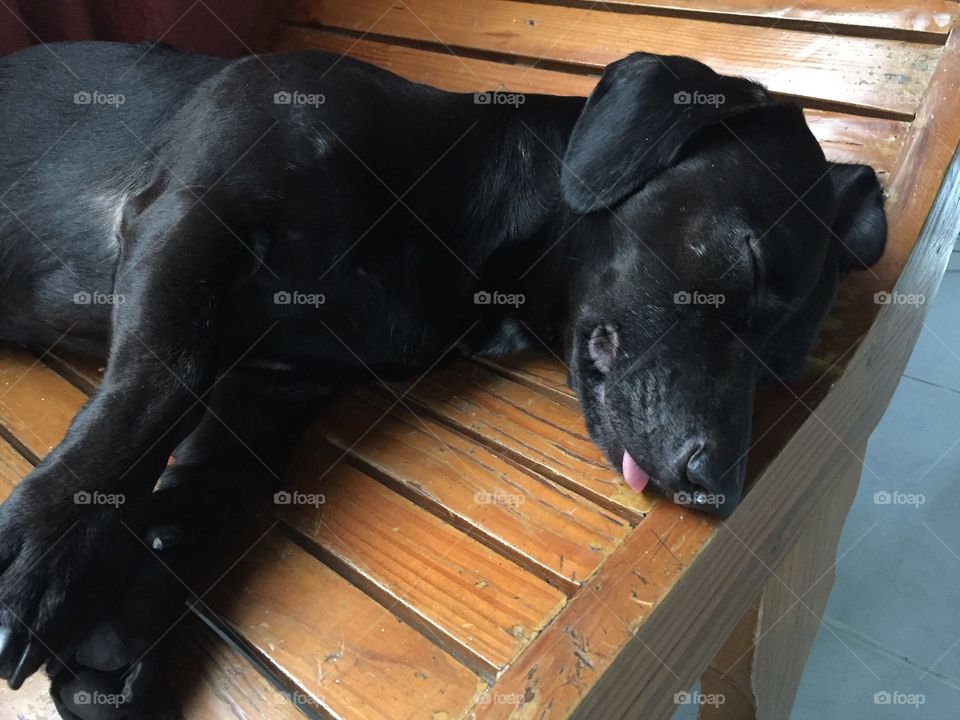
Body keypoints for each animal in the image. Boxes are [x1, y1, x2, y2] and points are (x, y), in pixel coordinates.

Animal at [0, 43, 884, 716]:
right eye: (753, 260)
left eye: (779, 370)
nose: (720, 491)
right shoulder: (193, 215)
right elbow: (158, 385)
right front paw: (38, 555)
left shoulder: (273, 388)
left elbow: (215, 488)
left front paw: (130, 621)